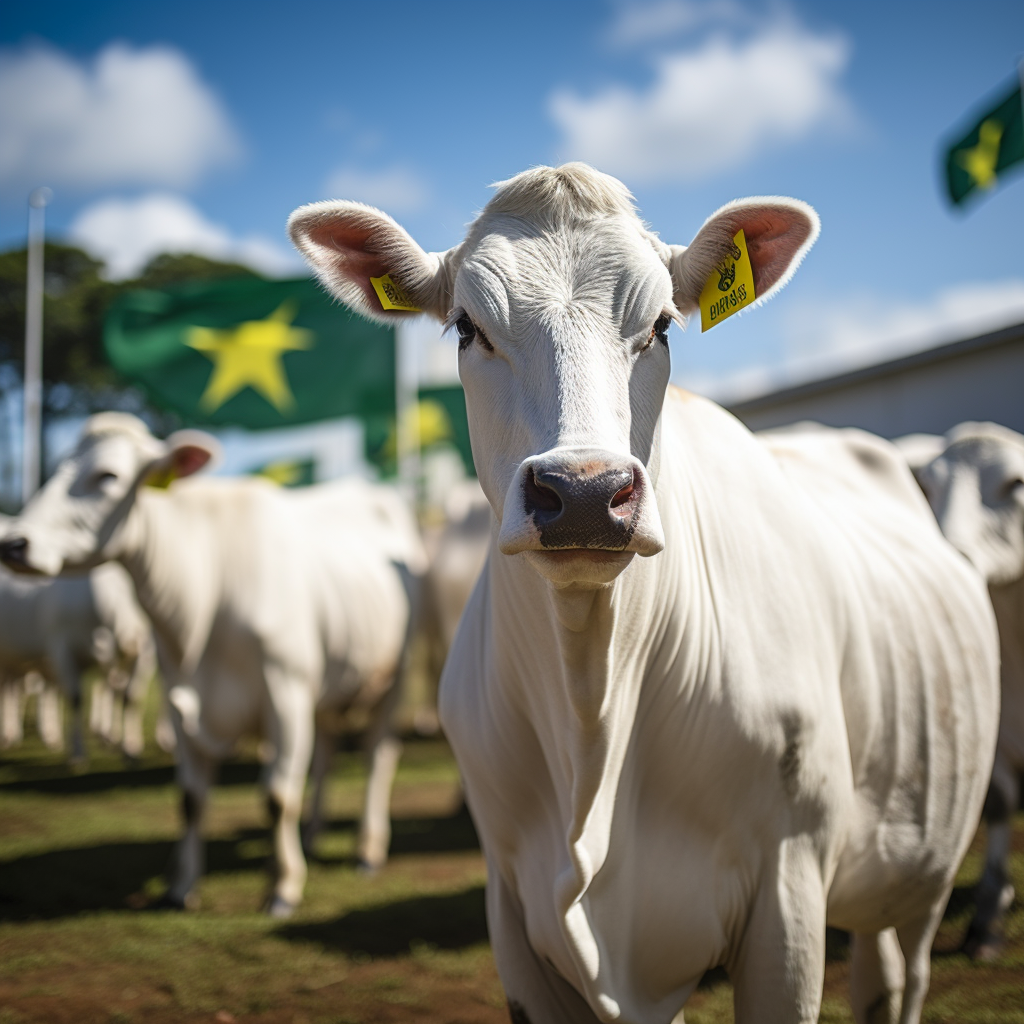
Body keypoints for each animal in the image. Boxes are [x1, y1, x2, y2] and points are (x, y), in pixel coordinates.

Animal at [0, 415, 423, 921]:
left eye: (107, 476)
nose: (13, 542)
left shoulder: (285, 694)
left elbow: (277, 796)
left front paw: (283, 887)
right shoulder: (177, 697)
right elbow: (190, 798)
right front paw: (181, 886)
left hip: (393, 677)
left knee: (378, 756)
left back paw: (367, 849)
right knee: (326, 753)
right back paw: (314, 833)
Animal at [290, 161, 999, 1024]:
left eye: (662, 326)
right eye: (466, 329)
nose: (585, 493)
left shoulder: (788, 894)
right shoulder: (517, 916)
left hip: (926, 862)